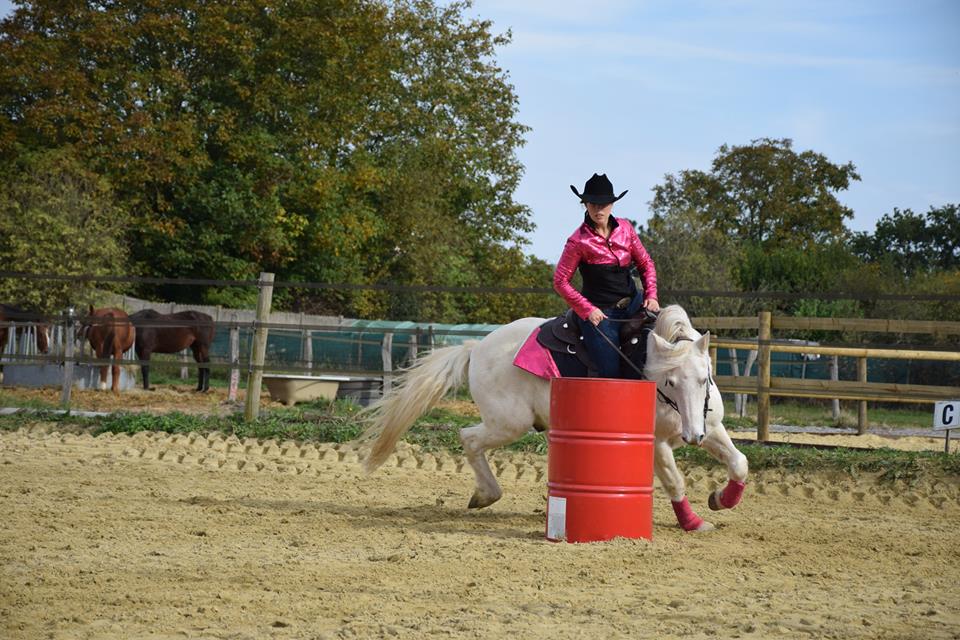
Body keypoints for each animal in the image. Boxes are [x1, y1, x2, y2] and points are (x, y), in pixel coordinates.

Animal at [360, 304, 752, 528]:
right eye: (669, 381)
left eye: (704, 378)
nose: (691, 436)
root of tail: (478, 346)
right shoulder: (655, 443)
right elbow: (675, 481)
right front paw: (693, 522)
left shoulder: (712, 426)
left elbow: (740, 463)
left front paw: (721, 499)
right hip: (508, 422)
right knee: (468, 438)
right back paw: (486, 494)